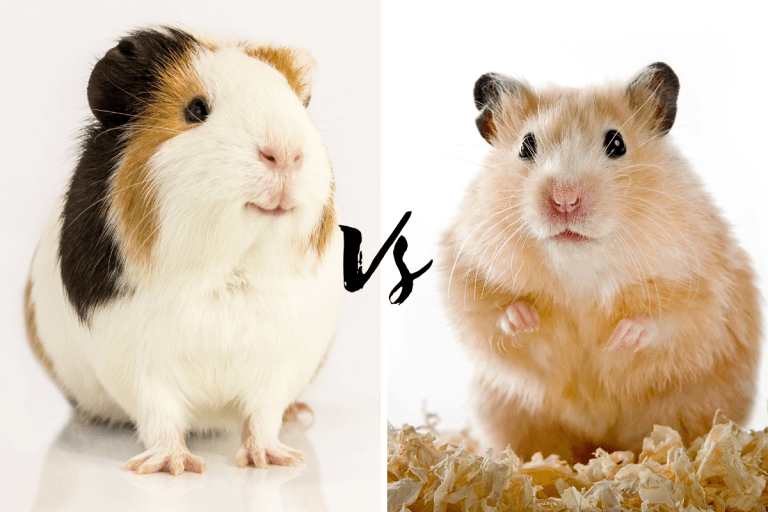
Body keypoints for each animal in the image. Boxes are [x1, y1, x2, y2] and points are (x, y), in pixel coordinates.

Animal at [24, 27, 342, 475]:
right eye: (196, 109)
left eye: (296, 104)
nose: (285, 154)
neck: (228, 273)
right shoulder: (135, 362)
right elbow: (160, 417)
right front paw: (173, 467)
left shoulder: (283, 358)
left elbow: (263, 415)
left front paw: (274, 460)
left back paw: (300, 415)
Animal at [440, 63, 761, 464]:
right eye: (526, 146)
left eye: (617, 143)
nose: (564, 199)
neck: (579, 264)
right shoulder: (464, 267)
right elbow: (487, 312)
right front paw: (526, 319)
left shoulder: (705, 283)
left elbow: (671, 320)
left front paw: (620, 338)